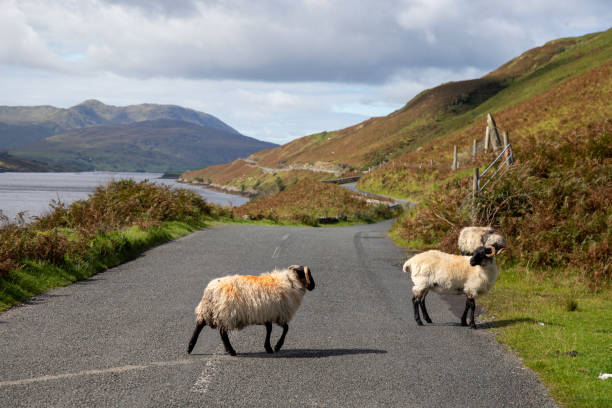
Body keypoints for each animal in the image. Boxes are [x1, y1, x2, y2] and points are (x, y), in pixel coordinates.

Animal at [186, 266, 316, 356]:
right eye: (308, 274)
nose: (313, 286)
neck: (291, 282)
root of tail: (211, 289)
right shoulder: (279, 314)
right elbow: (285, 329)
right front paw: (276, 347)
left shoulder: (267, 313)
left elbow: (269, 329)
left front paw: (268, 347)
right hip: (225, 312)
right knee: (222, 332)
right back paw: (231, 351)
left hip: (209, 310)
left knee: (200, 324)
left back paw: (190, 347)